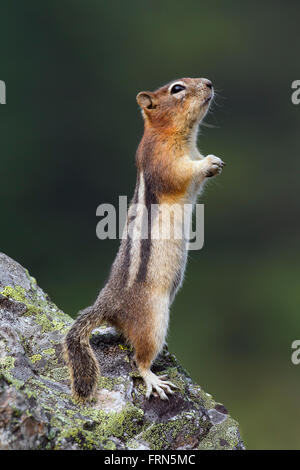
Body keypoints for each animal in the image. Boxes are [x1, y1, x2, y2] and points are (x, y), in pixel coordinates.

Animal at [63, 76, 225, 400]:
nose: (209, 83)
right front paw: (209, 163)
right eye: (177, 88)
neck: (173, 133)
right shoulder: (163, 159)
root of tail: (109, 305)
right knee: (139, 358)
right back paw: (154, 379)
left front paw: (213, 164)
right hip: (153, 320)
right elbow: (181, 174)